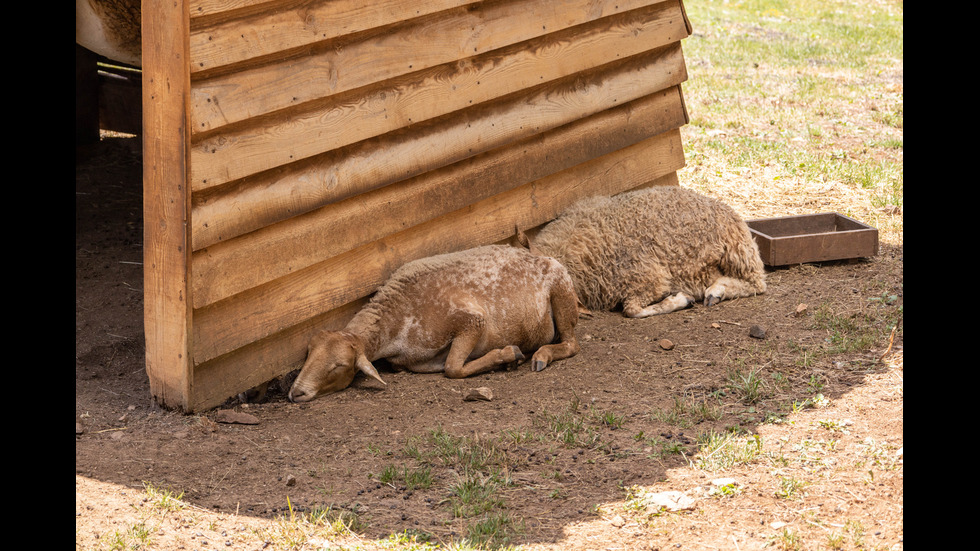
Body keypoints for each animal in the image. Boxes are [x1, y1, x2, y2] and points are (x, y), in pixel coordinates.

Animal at [290, 245, 580, 402]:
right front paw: (508, 358)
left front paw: (509, 354)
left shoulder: (472, 320)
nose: (296, 393)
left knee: (571, 344)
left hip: (562, 289)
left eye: (338, 365)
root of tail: (541, 256)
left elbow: (452, 368)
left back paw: (540, 356)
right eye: (308, 354)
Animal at [528, 185, 764, 316]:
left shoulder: (650, 279)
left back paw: (716, 291)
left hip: (738, 255)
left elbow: (632, 311)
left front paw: (680, 300)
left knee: (757, 284)